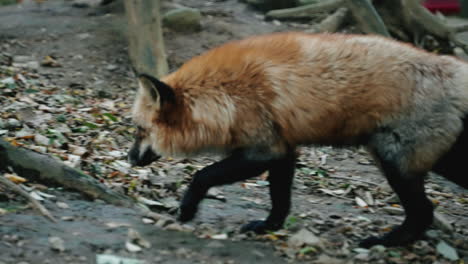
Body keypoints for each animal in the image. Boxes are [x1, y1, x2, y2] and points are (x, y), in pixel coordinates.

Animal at [127, 32, 468, 249]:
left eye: (140, 130)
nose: (129, 158)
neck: (224, 95)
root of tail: (452, 67)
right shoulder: (283, 149)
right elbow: (280, 199)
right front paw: (269, 227)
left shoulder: (263, 150)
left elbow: (201, 176)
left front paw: (185, 210)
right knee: (426, 211)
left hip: (395, 163)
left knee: (424, 212)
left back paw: (386, 242)